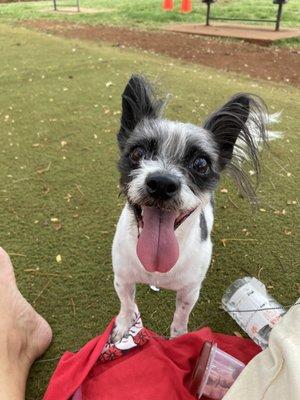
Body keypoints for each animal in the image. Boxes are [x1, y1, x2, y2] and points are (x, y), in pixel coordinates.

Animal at [112, 74, 276, 340]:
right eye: (137, 153)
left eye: (201, 164)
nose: (162, 183)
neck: (157, 266)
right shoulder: (123, 279)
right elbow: (127, 305)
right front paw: (124, 325)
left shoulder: (189, 291)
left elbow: (181, 317)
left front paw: (179, 339)